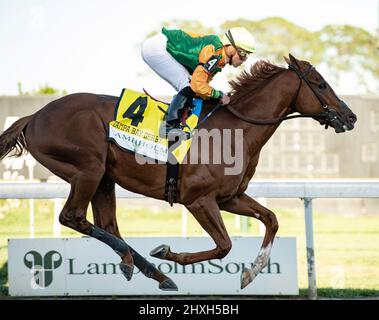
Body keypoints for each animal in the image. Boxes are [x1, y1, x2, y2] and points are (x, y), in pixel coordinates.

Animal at [0, 54, 356, 290]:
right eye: (321, 84)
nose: (350, 117)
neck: (237, 129)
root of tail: (34, 116)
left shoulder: (230, 197)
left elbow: (271, 219)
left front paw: (251, 272)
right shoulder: (199, 200)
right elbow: (224, 246)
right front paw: (170, 252)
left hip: (104, 178)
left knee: (107, 225)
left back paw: (147, 270)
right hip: (88, 169)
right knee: (72, 217)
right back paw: (145, 265)